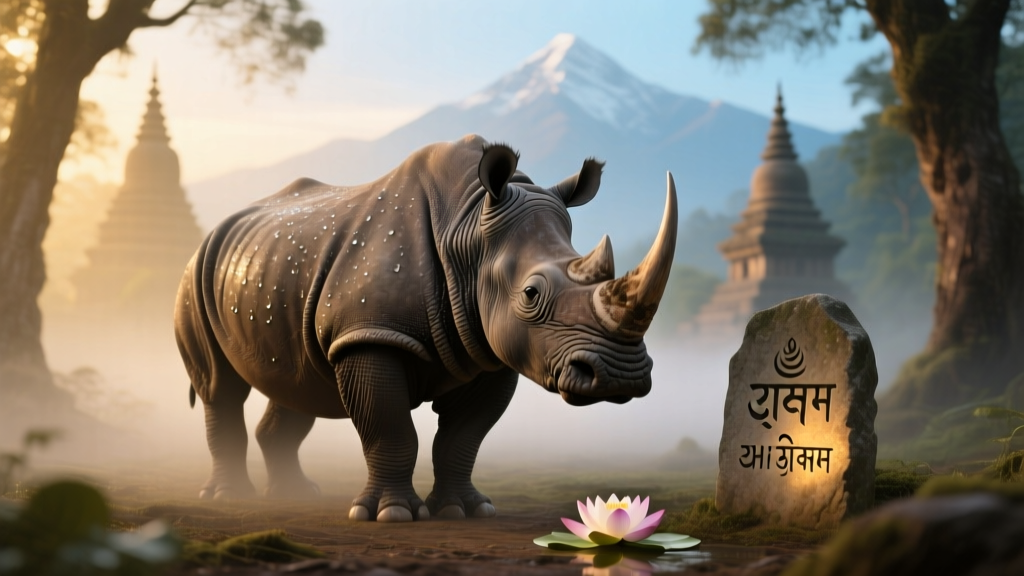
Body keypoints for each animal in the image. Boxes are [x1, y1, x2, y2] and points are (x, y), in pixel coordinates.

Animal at [174, 135, 677, 522]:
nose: (621, 376)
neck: (469, 227)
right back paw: (229, 496)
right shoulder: (370, 334)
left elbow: (463, 437)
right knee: (221, 387)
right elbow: (390, 427)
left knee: (298, 384)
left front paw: (465, 511)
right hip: (193, 276)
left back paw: (296, 495)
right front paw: (390, 515)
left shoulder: (490, 352)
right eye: (531, 294)